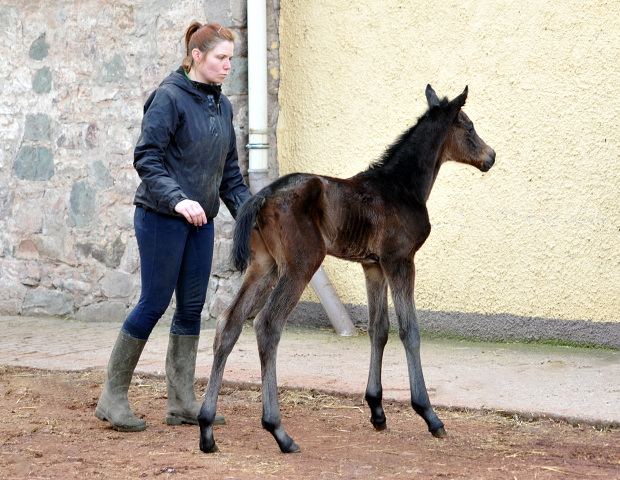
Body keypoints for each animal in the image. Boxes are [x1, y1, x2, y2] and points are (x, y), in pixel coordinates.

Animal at [201, 86, 496, 454]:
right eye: (469, 127)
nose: (490, 156)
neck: (402, 186)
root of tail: (263, 196)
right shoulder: (400, 260)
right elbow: (409, 331)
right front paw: (429, 415)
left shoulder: (373, 266)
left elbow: (378, 329)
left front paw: (377, 410)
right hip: (300, 265)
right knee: (268, 325)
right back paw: (279, 431)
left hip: (264, 266)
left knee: (230, 322)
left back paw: (206, 429)